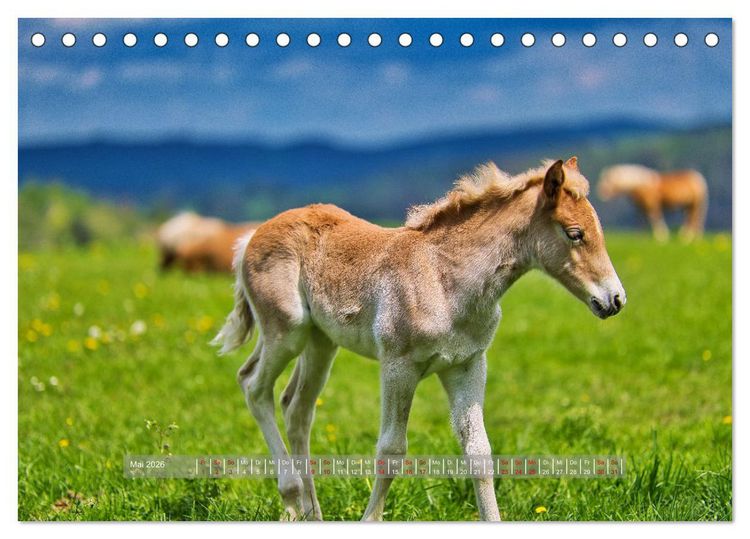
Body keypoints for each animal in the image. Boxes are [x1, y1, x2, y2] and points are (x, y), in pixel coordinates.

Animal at [212, 157, 626, 521]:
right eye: (575, 233)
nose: (615, 300)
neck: (445, 278)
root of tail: (250, 236)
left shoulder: (467, 365)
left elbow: (479, 452)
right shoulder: (399, 366)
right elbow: (391, 450)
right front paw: (370, 521)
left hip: (320, 342)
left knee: (296, 407)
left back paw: (313, 515)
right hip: (287, 331)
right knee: (253, 385)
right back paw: (292, 496)